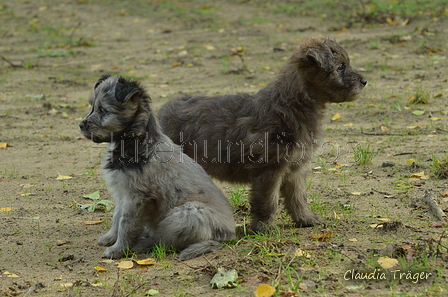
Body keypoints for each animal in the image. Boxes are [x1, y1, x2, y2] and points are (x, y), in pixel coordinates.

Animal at [79, 74, 236, 260]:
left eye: (103, 110)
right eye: (92, 106)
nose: (81, 125)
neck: (137, 143)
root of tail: (229, 236)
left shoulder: (136, 197)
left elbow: (126, 224)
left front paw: (118, 249)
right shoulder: (122, 193)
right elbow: (117, 217)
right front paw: (110, 237)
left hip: (187, 213)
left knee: (166, 240)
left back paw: (143, 244)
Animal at [159, 37, 366, 231]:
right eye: (340, 67)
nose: (364, 81)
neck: (291, 105)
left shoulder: (295, 169)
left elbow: (298, 197)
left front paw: (305, 219)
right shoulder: (269, 169)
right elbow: (268, 201)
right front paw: (264, 227)